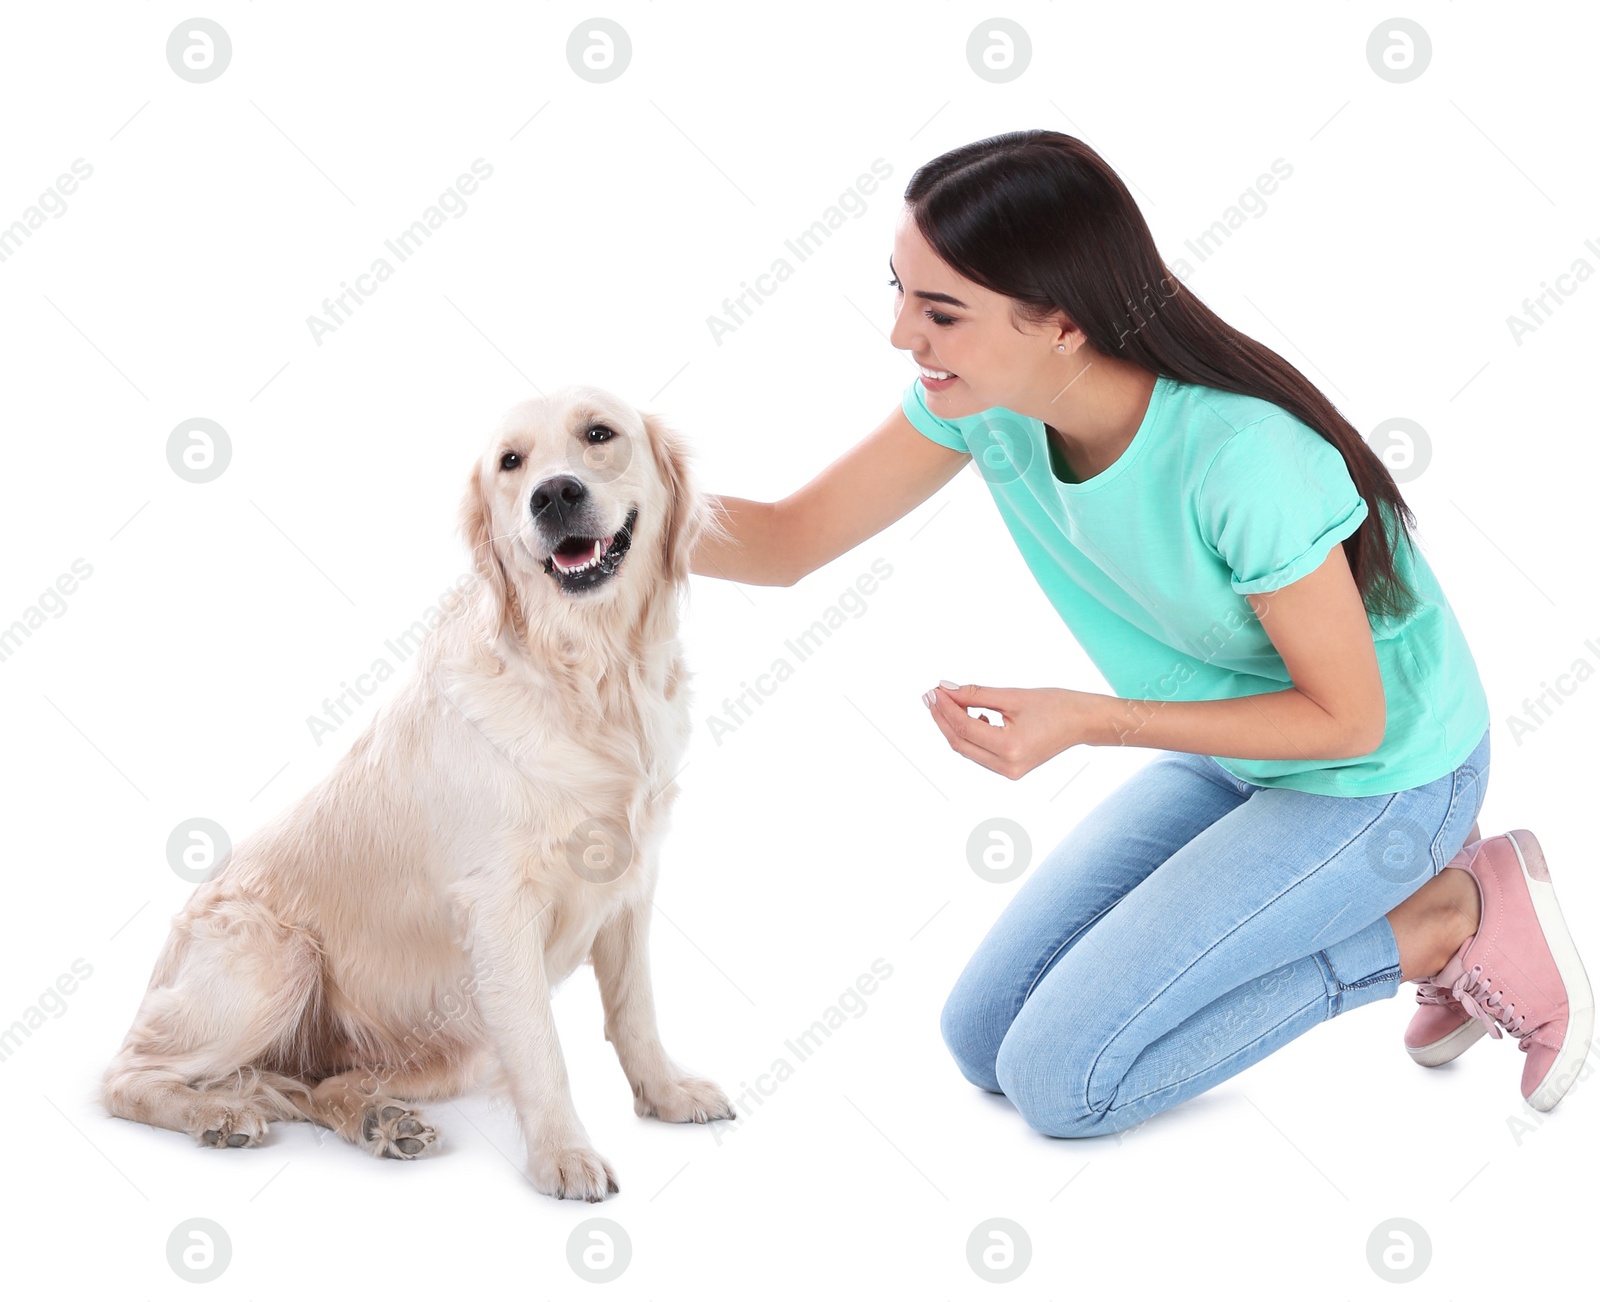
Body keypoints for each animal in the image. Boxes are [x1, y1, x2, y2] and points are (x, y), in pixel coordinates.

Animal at [103, 385, 739, 1202]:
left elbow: (635, 1009)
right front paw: (564, 1156)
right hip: (280, 953)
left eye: (600, 434)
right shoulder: (499, 908)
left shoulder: (631, 882)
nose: (555, 494)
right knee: (126, 1075)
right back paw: (219, 1114)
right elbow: (544, 1050)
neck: (589, 674)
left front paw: (665, 1093)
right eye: (510, 462)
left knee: (324, 1085)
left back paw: (379, 1120)